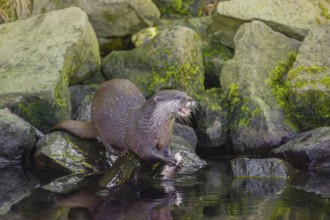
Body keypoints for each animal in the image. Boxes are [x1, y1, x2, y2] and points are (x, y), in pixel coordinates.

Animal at [52, 78, 195, 165]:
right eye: (178, 97)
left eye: (186, 93)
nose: (191, 99)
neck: (153, 126)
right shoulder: (140, 137)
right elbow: (147, 153)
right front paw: (166, 159)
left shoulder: (166, 137)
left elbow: (167, 148)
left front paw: (172, 156)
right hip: (99, 123)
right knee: (105, 142)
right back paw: (120, 152)